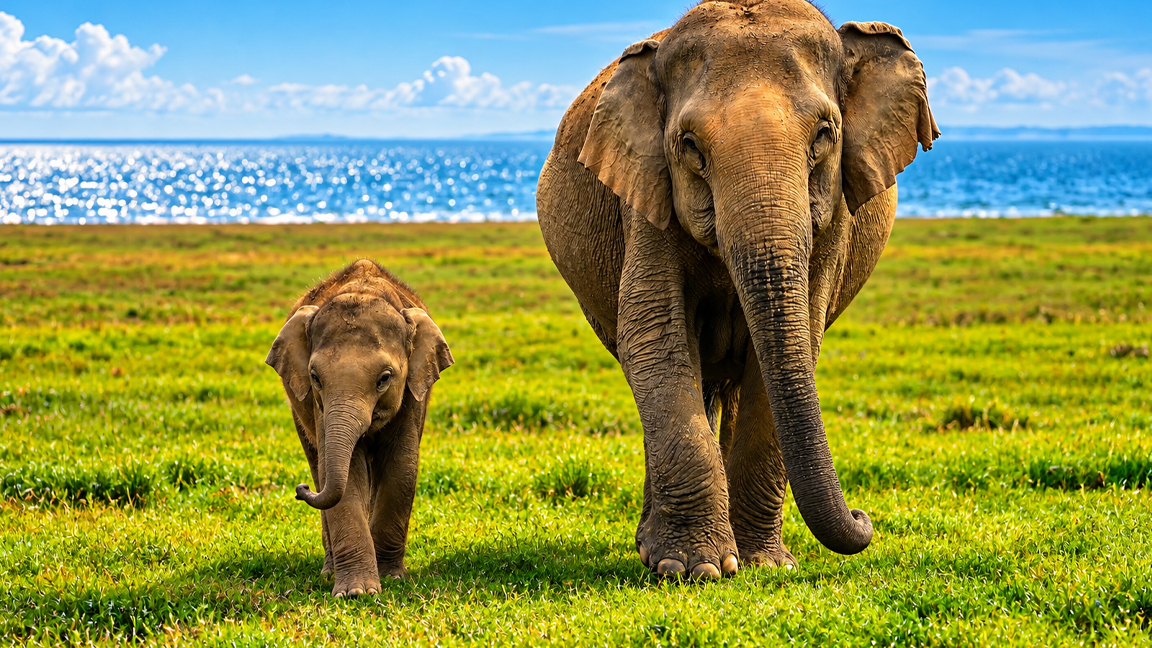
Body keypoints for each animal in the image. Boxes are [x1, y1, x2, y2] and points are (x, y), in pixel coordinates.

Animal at [265, 259, 454, 597]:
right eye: (315, 377)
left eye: (385, 378)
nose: (301, 489)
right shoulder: (320, 407)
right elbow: (347, 474)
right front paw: (357, 592)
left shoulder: (413, 393)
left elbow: (402, 467)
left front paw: (391, 577)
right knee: (319, 466)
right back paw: (329, 571)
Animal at [536, 0, 938, 579]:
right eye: (689, 146)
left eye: (824, 135)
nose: (864, 519)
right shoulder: (646, 199)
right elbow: (652, 336)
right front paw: (693, 569)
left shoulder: (835, 213)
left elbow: (797, 343)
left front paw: (763, 565)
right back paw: (654, 547)